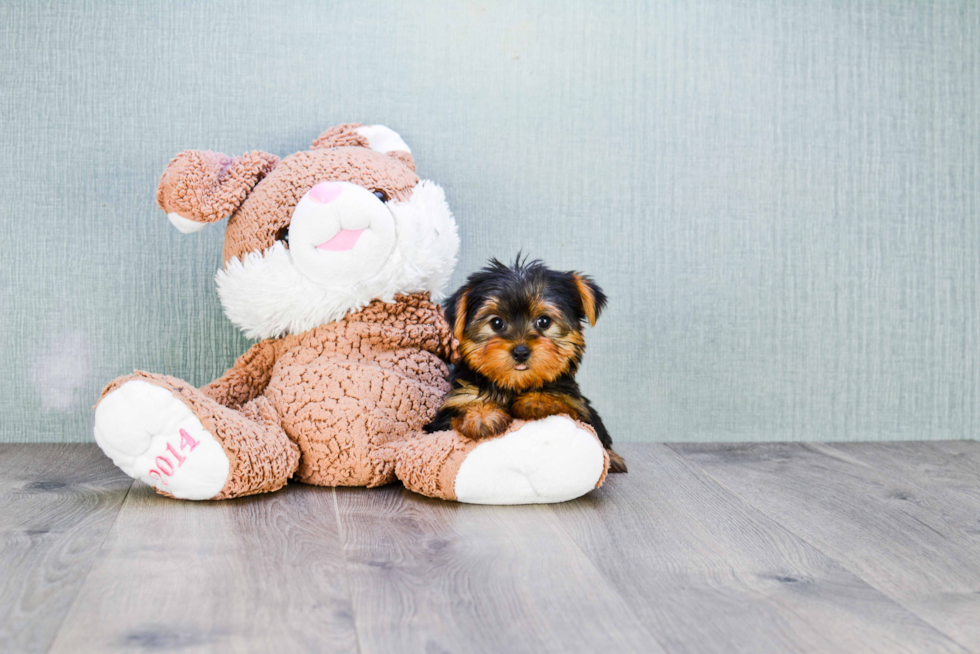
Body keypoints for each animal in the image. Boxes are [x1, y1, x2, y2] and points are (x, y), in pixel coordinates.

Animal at [424, 258, 628, 474]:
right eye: (496, 323)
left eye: (544, 321)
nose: (521, 352)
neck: (515, 384)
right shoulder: (449, 410)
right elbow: (463, 406)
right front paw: (481, 415)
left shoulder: (575, 404)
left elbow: (565, 404)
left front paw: (537, 400)